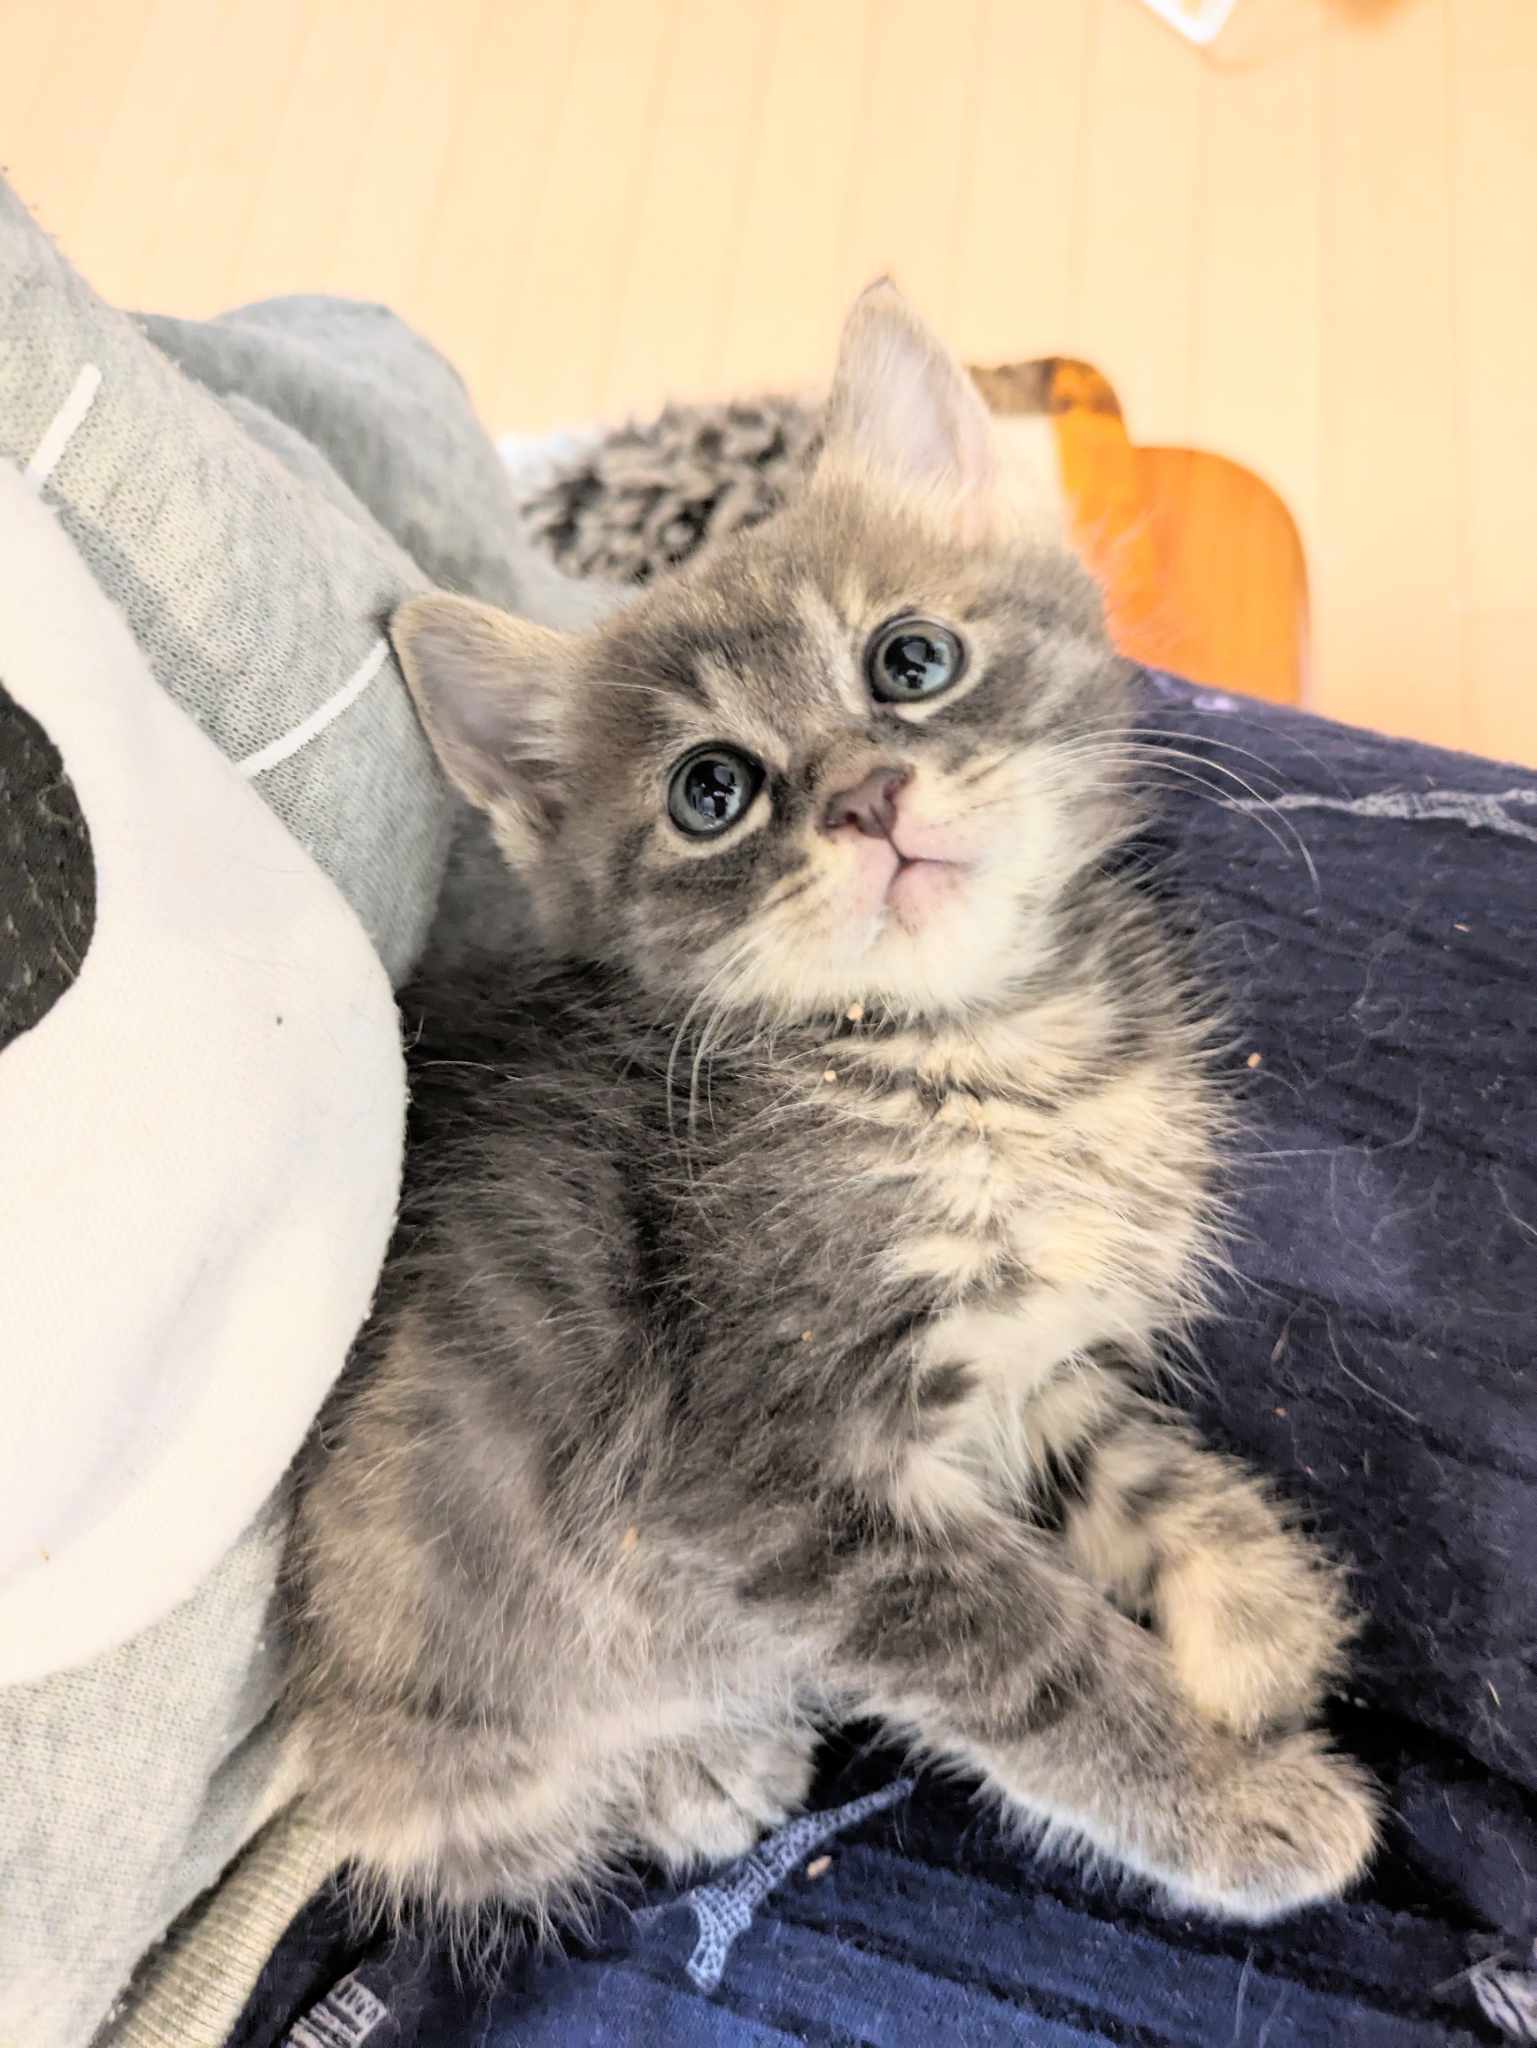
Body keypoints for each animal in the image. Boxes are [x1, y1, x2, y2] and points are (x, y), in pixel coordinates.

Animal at [283, 283, 1377, 1933]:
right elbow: (1031, 1656)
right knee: (492, 1827)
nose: (866, 797)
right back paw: (692, 1770)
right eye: (711, 791)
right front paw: (1236, 1803)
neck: (986, 1055)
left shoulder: (1025, 1358)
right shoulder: (767, 1483)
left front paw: (1257, 1614)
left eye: (910, 661)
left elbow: (1135, 1462)